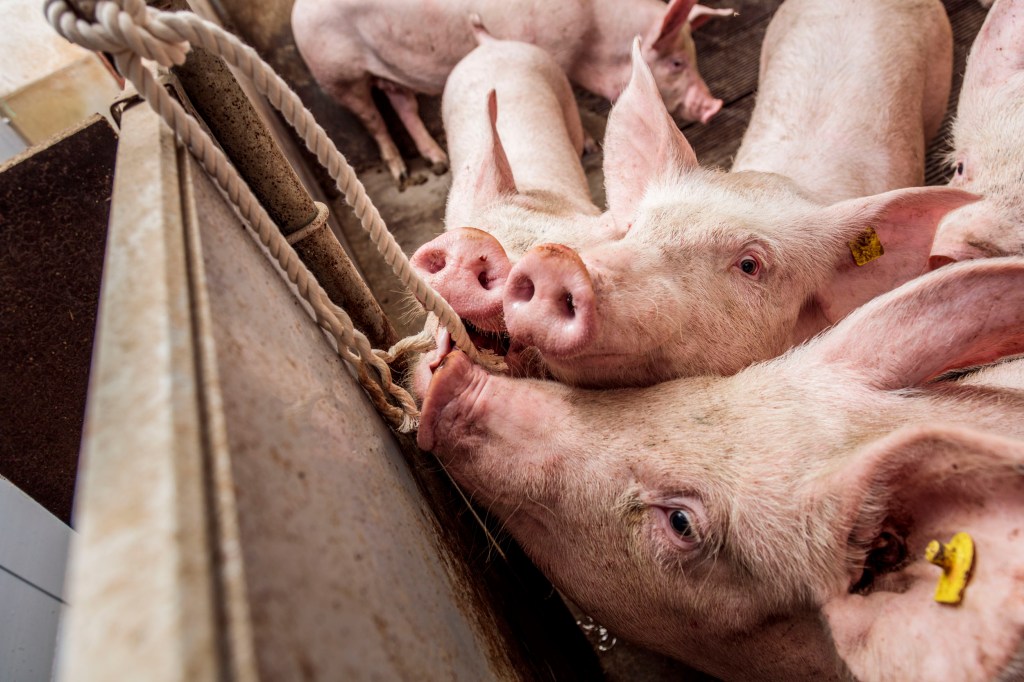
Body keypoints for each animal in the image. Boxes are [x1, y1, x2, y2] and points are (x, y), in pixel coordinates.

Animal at [292, 0, 733, 186]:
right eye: (676, 62)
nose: (714, 105)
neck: (594, 38)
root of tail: (295, 10)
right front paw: (589, 146)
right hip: (336, 73)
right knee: (371, 118)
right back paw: (402, 174)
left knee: (401, 103)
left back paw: (437, 162)